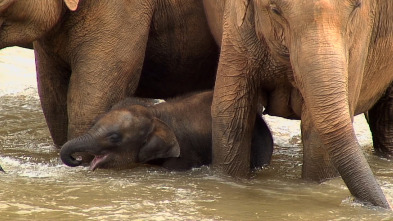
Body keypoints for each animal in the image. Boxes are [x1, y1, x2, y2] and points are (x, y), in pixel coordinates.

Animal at [204, 0, 392, 208]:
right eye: (275, 10)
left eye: (357, 6)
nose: (384, 205)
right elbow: (230, 115)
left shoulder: (359, 37)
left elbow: (317, 133)